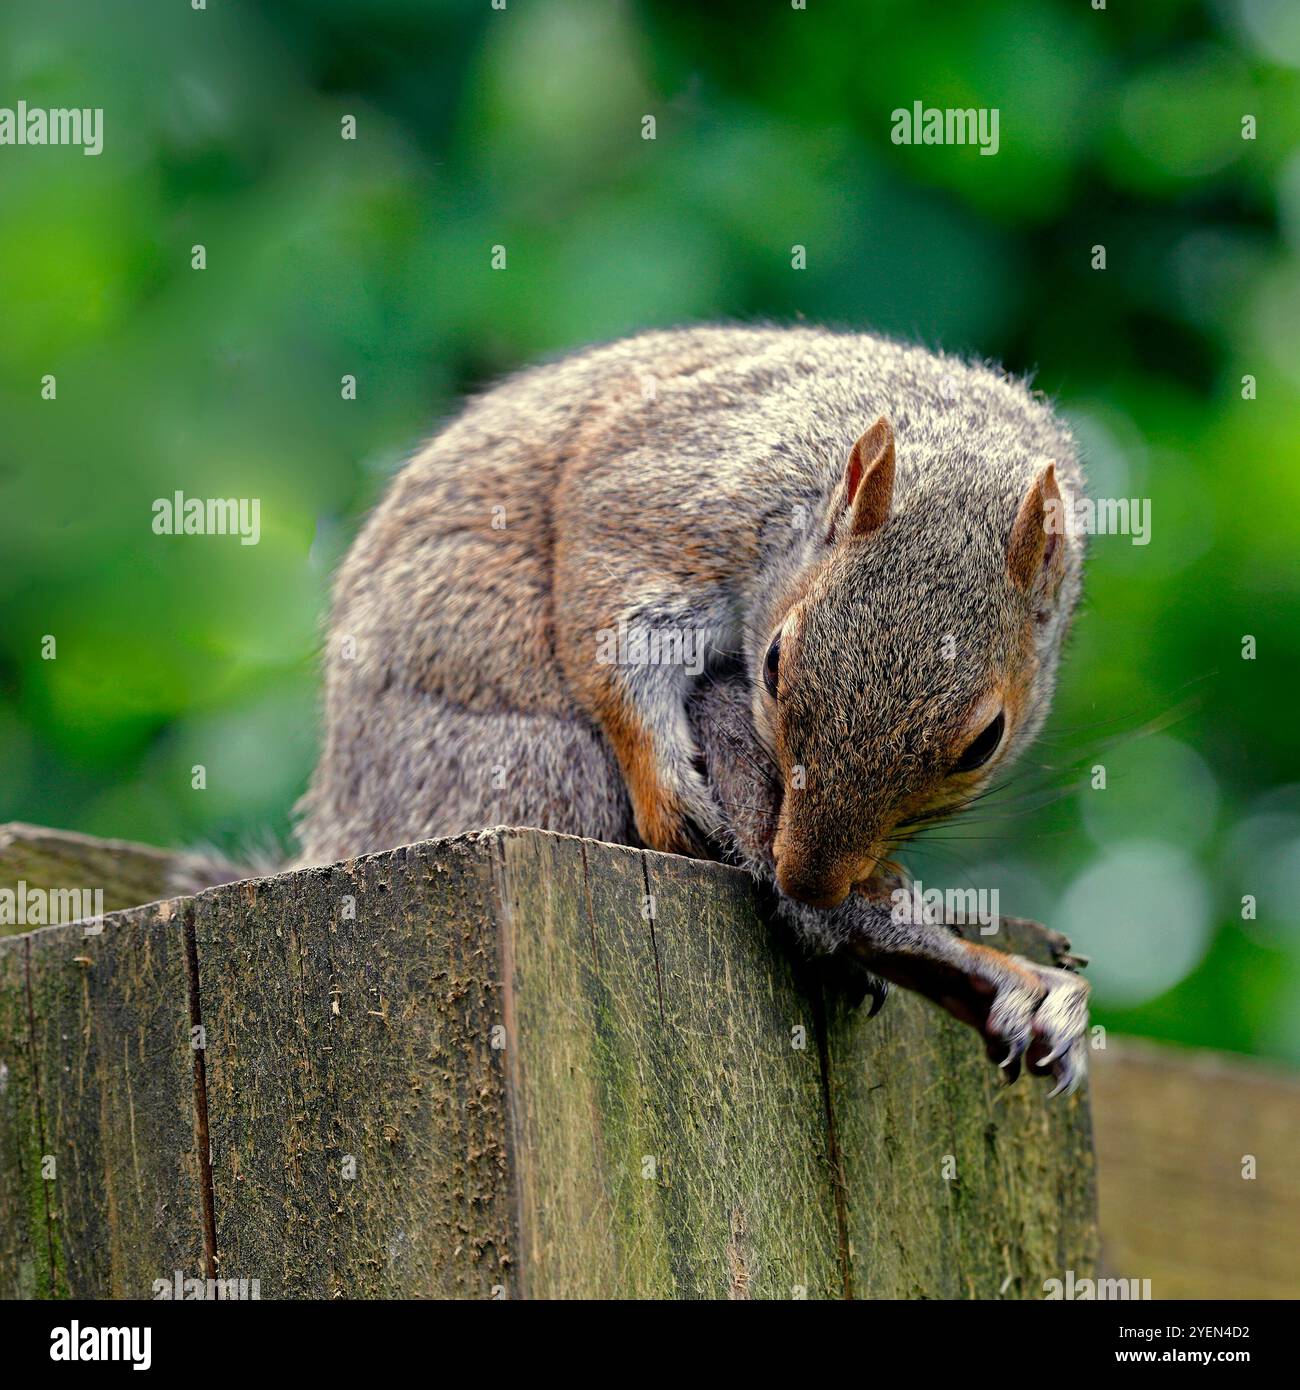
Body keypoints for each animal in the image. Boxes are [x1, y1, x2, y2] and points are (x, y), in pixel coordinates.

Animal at [291, 325, 1090, 1095]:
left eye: (985, 742)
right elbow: (615, 633)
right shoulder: (679, 491)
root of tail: (338, 823)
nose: (808, 877)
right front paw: (671, 795)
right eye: (774, 664)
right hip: (524, 767)